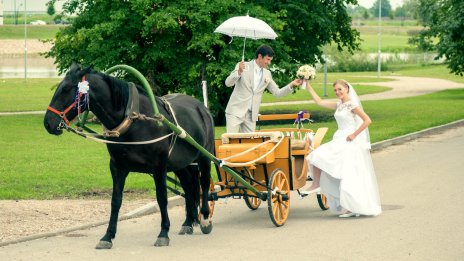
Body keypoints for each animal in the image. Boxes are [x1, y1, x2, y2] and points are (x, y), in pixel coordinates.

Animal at [43, 63, 214, 248]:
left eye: (66, 89)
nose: (48, 123)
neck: (134, 121)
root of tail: (201, 107)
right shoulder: (117, 167)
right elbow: (115, 200)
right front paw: (107, 236)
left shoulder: (159, 167)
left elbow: (162, 198)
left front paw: (163, 232)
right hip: (181, 164)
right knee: (189, 187)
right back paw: (188, 222)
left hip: (204, 157)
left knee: (204, 184)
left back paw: (205, 218)